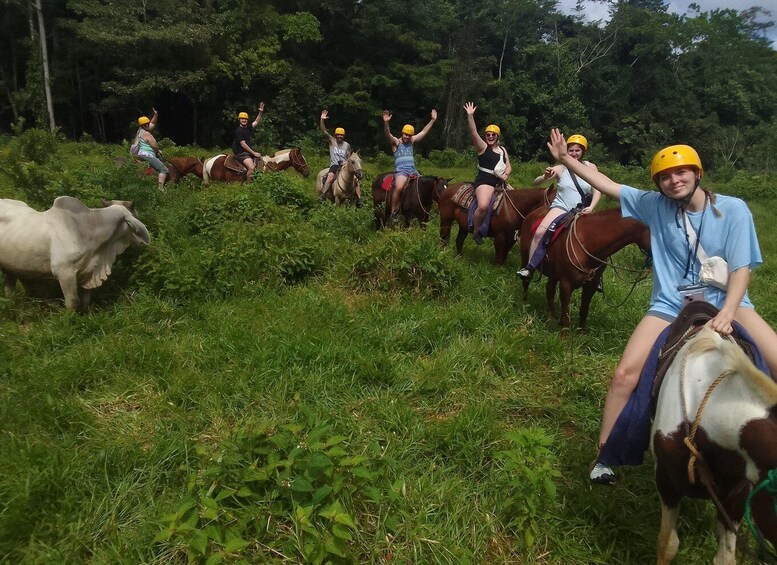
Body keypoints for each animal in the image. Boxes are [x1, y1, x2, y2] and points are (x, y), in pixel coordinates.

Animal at [0, 194, 150, 308]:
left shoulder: (89, 272)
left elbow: (86, 300)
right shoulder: (65, 273)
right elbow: (73, 303)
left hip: (12, 266)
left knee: (9, 288)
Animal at [520, 206, 648, 330]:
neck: (588, 242)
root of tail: (534, 212)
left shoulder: (591, 286)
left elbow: (583, 311)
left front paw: (580, 334)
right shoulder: (566, 284)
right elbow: (566, 316)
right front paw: (564, 335)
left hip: (554, 274)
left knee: (549, 289)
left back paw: (552, 319)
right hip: (525, 259)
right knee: (526, 282)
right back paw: (525, 304)